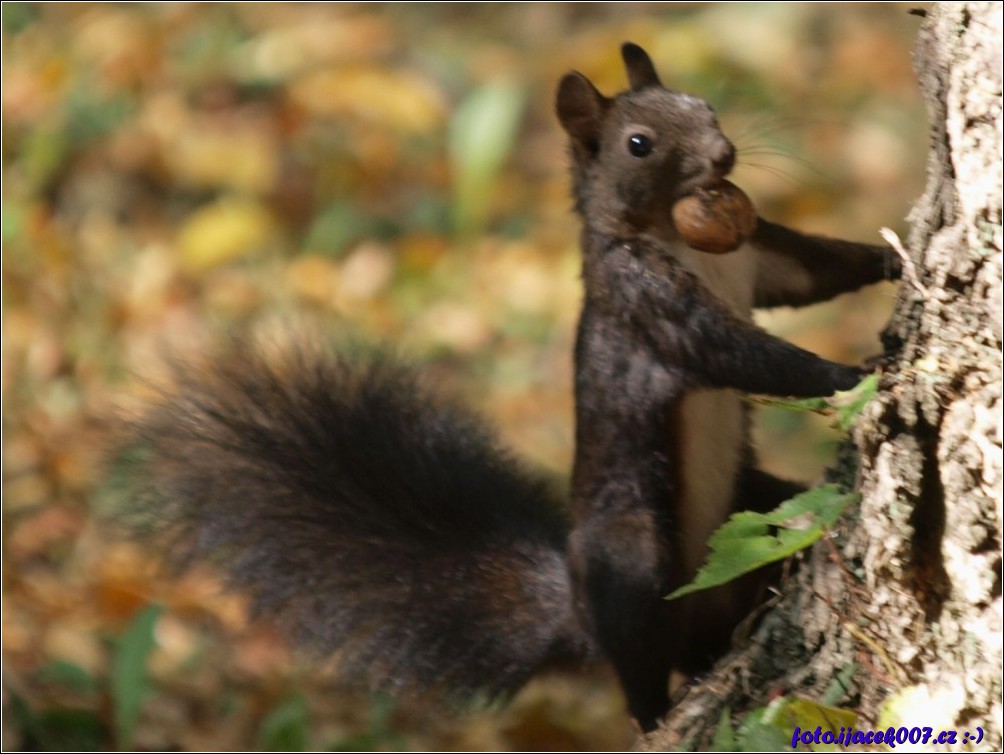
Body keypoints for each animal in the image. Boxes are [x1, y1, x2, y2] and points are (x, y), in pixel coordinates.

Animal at [111, 42, 903, 730]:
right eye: (638, 144)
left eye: (703, 103)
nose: (724, 154)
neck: (681, 237)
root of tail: (578, 614)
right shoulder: (653, 309)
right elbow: (750, 356)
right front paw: (854, 374)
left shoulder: (758, 256)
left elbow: (815, 270)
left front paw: (891, 261)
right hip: (634, 552)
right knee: (640, 661)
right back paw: (656, 710)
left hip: (755, 501)